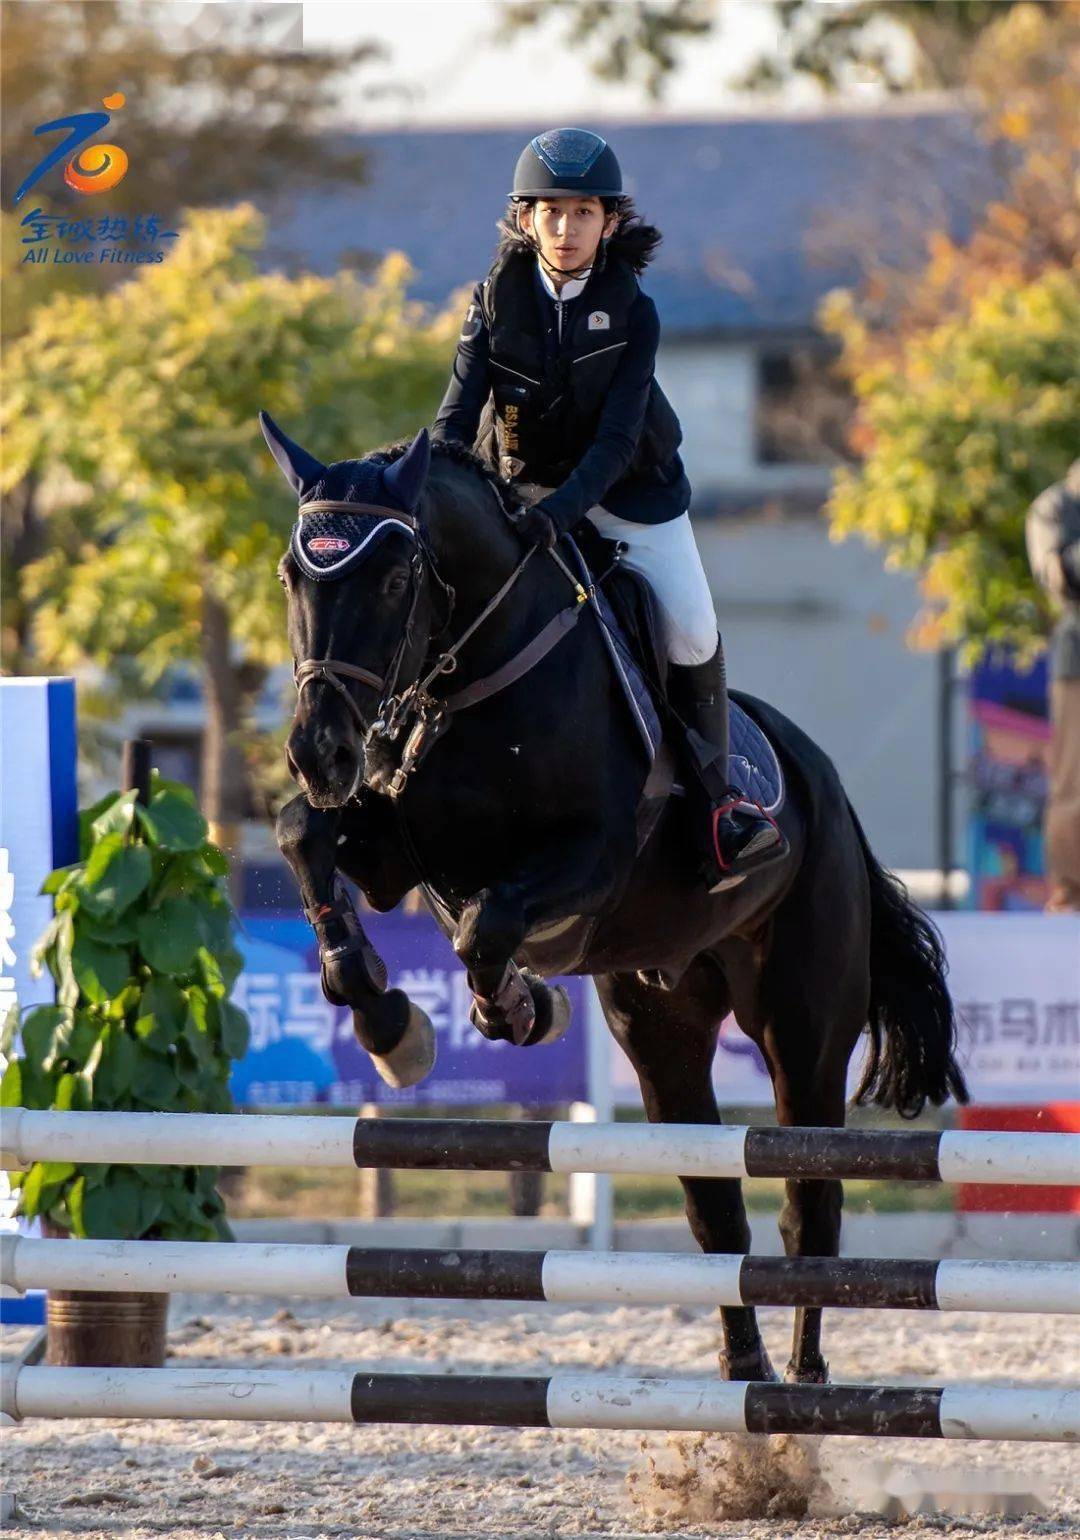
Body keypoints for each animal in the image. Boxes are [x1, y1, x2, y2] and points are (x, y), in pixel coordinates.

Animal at [263, 418, 967, 1386]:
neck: (474, 678)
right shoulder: (392, 854)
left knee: (808, 1201)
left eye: (397, 578)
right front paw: (387, 1016)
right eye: (293, 576)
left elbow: (486, 925)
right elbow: (306, 835)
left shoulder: (592, 859)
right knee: (716, 1212)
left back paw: (803, 1385)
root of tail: (824, 783)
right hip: (661, 1030)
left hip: (804, 1025)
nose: (318, 750)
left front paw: (510, 1008)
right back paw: (743, 1380)